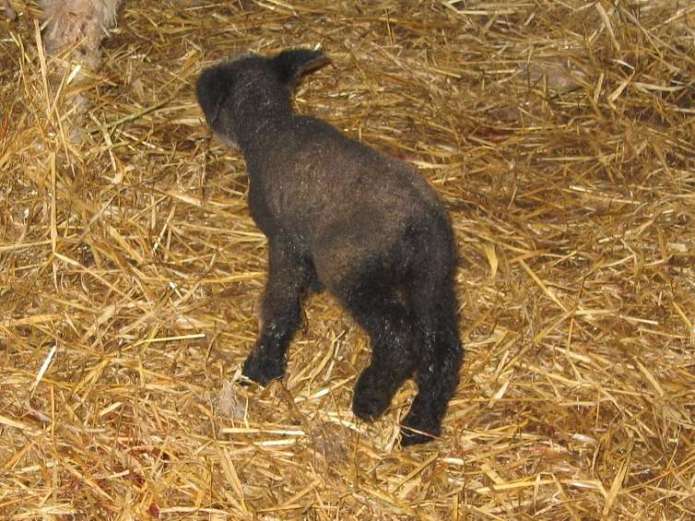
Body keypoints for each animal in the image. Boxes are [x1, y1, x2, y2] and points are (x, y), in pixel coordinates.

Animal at [196, 49, 463, 446]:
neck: (269, 127)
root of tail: (420, 222)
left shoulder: (284, 239)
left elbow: (280, 305)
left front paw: (261, 367)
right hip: (433, 278)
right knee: (442, 349)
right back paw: (420, 424)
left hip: (355, 272)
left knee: (398, 336)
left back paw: (370, 398)